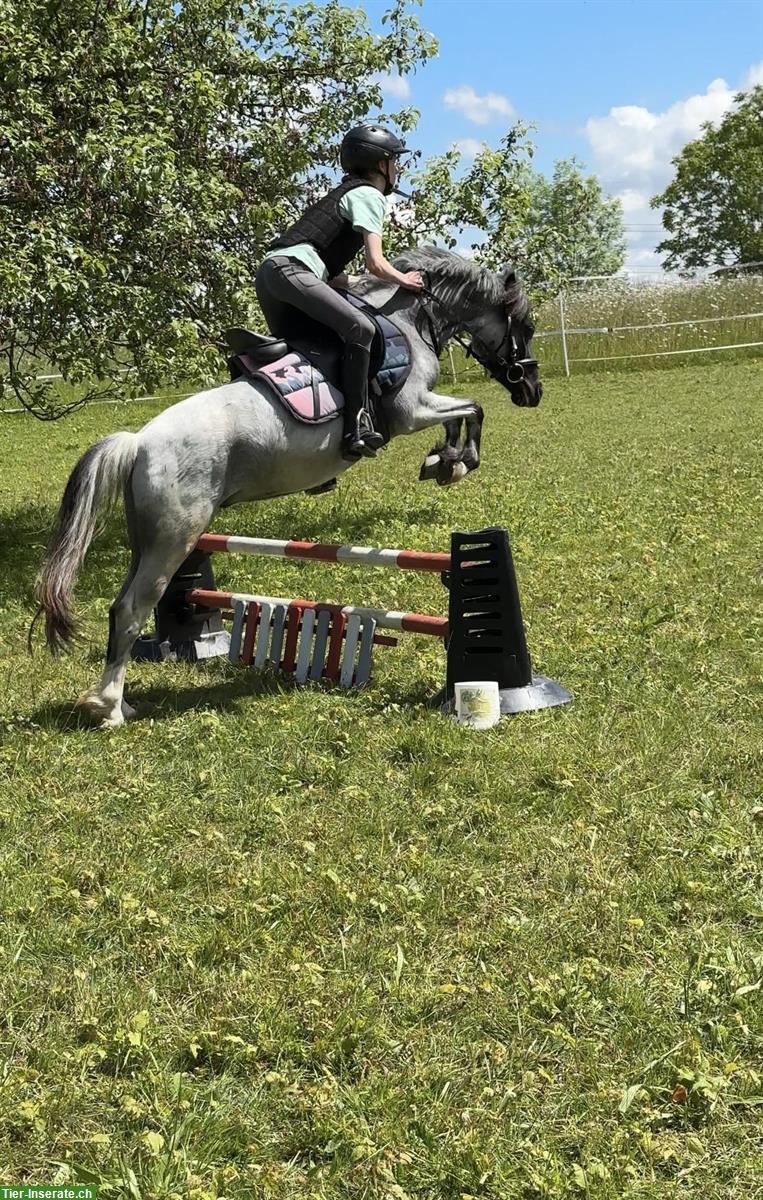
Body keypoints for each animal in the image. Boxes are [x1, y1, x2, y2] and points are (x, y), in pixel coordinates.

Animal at [34, 248, 537, 724]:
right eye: (526, 327)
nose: (533, 392)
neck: (408, 317)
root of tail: (139, 443)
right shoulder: (413, 410)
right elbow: (472, 409)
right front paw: (454, 462)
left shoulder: (423, 408)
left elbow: (464, 414)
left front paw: (443, 460)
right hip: (174, 538)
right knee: (130, 609)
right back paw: (110, 708)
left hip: (152, 539)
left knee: (123, 607)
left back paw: (121, 701)